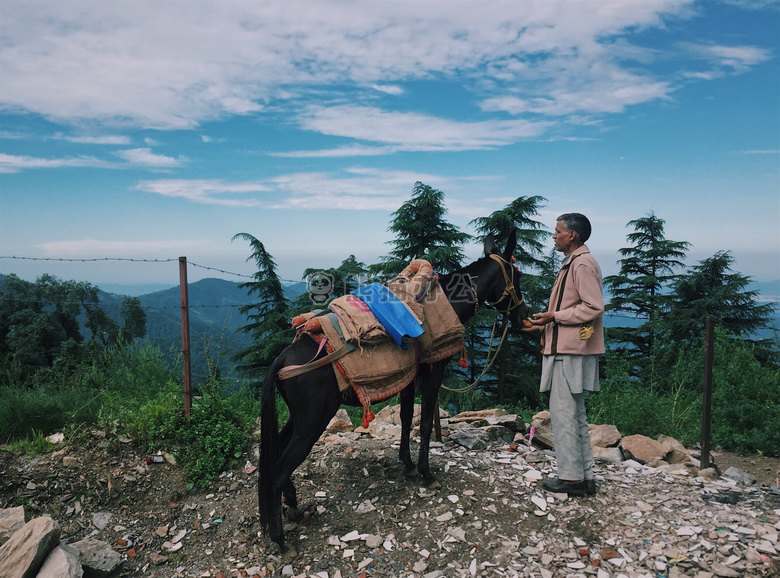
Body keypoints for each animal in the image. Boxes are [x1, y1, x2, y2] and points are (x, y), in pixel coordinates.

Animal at [258, 232, 528, 552]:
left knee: (276, 450)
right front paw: (425, 473)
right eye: (518, 276)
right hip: (313, 421)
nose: (524, 316)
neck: (447, 302)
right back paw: (280, 538)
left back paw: (292, 504)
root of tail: (282, 359)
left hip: (299, 418)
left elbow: (407, 416)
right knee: (278, 469)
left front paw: (408, 464)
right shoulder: (433, 371)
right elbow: (425, 423)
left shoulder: (409, 378)